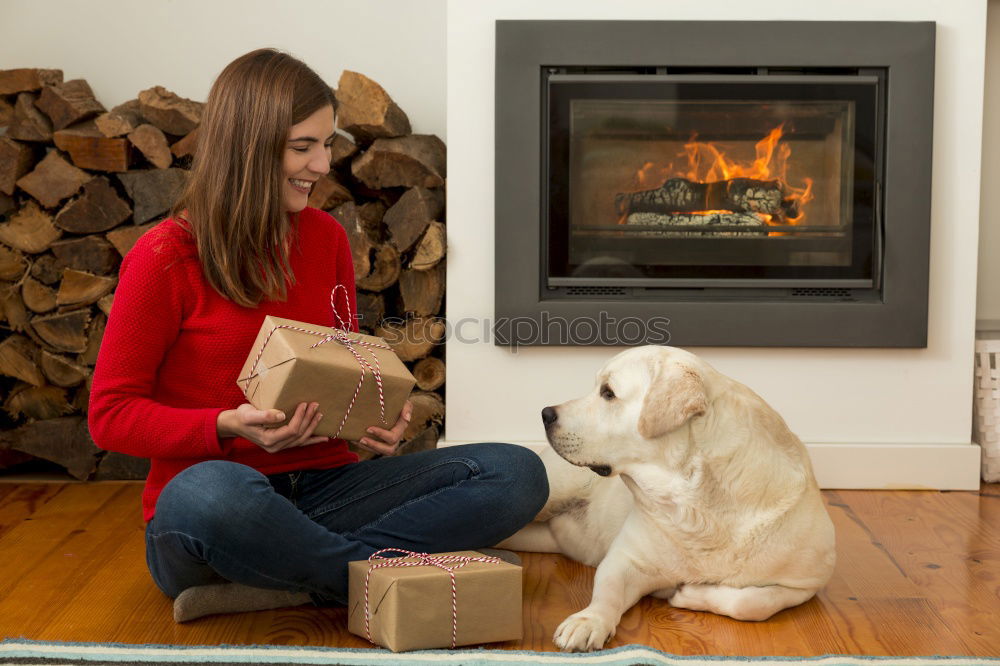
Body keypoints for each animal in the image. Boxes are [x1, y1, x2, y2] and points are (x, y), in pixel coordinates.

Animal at [500, 342, 836, 648]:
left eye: (608, 393)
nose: (546, 414)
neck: (698, 503)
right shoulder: (625, 559)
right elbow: (607, 592)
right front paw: (589, 621)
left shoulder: (805, 584)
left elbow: (752, 604)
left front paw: (691, 594)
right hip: (551, 489)